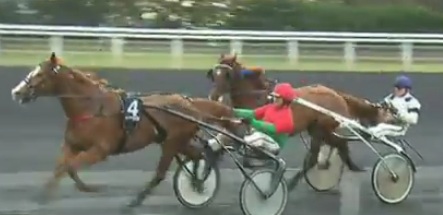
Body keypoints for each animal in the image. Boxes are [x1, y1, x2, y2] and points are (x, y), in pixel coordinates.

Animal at [10, 51, 238, 207]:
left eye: (40, 74)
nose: (16, 92)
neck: (92, 108)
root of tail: (189, 103)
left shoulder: (100, 150)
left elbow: (70, 167)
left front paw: (92, 188)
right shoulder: (72, 145)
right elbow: (62, 168)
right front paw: (45, 195)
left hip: (172, 143)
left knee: (162, 173)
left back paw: (136, 200)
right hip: (172, 140)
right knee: (198, 155)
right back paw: (197, 182)